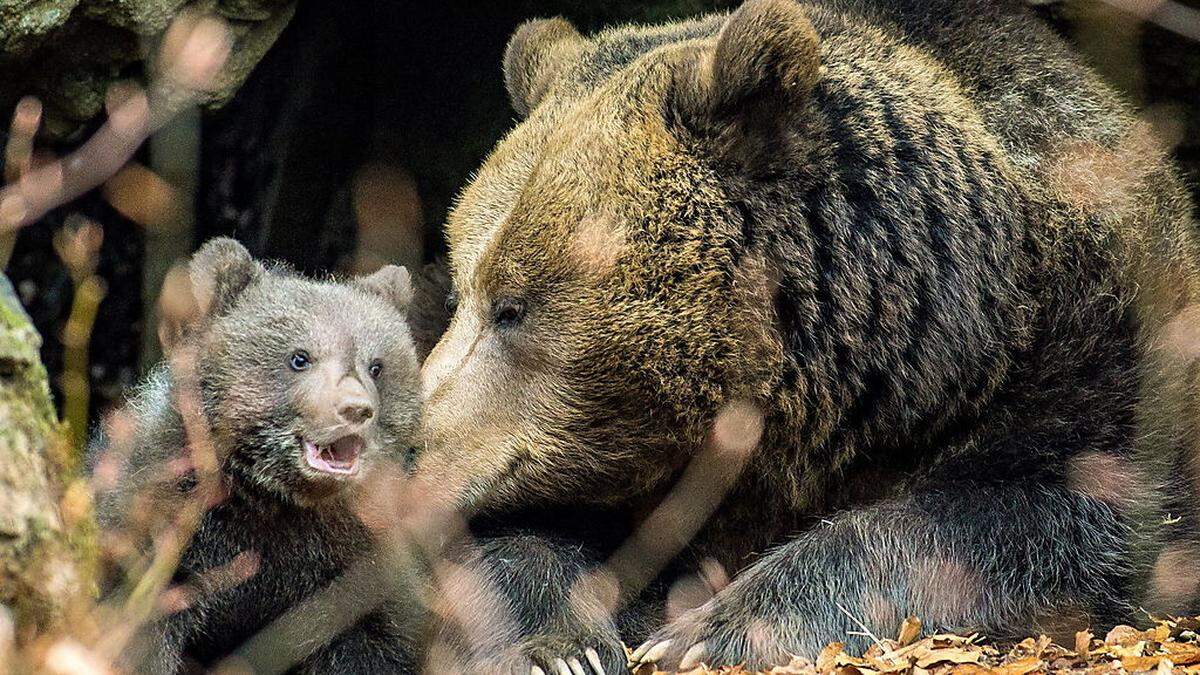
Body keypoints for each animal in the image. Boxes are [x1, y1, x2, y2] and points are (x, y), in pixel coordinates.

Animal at [417, 0, 1200, 667]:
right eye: (462, 287)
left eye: (511, 305)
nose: (414, 449)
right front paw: (559, 643)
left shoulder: (1092, 356)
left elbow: (1044, 521)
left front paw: (706, 633)